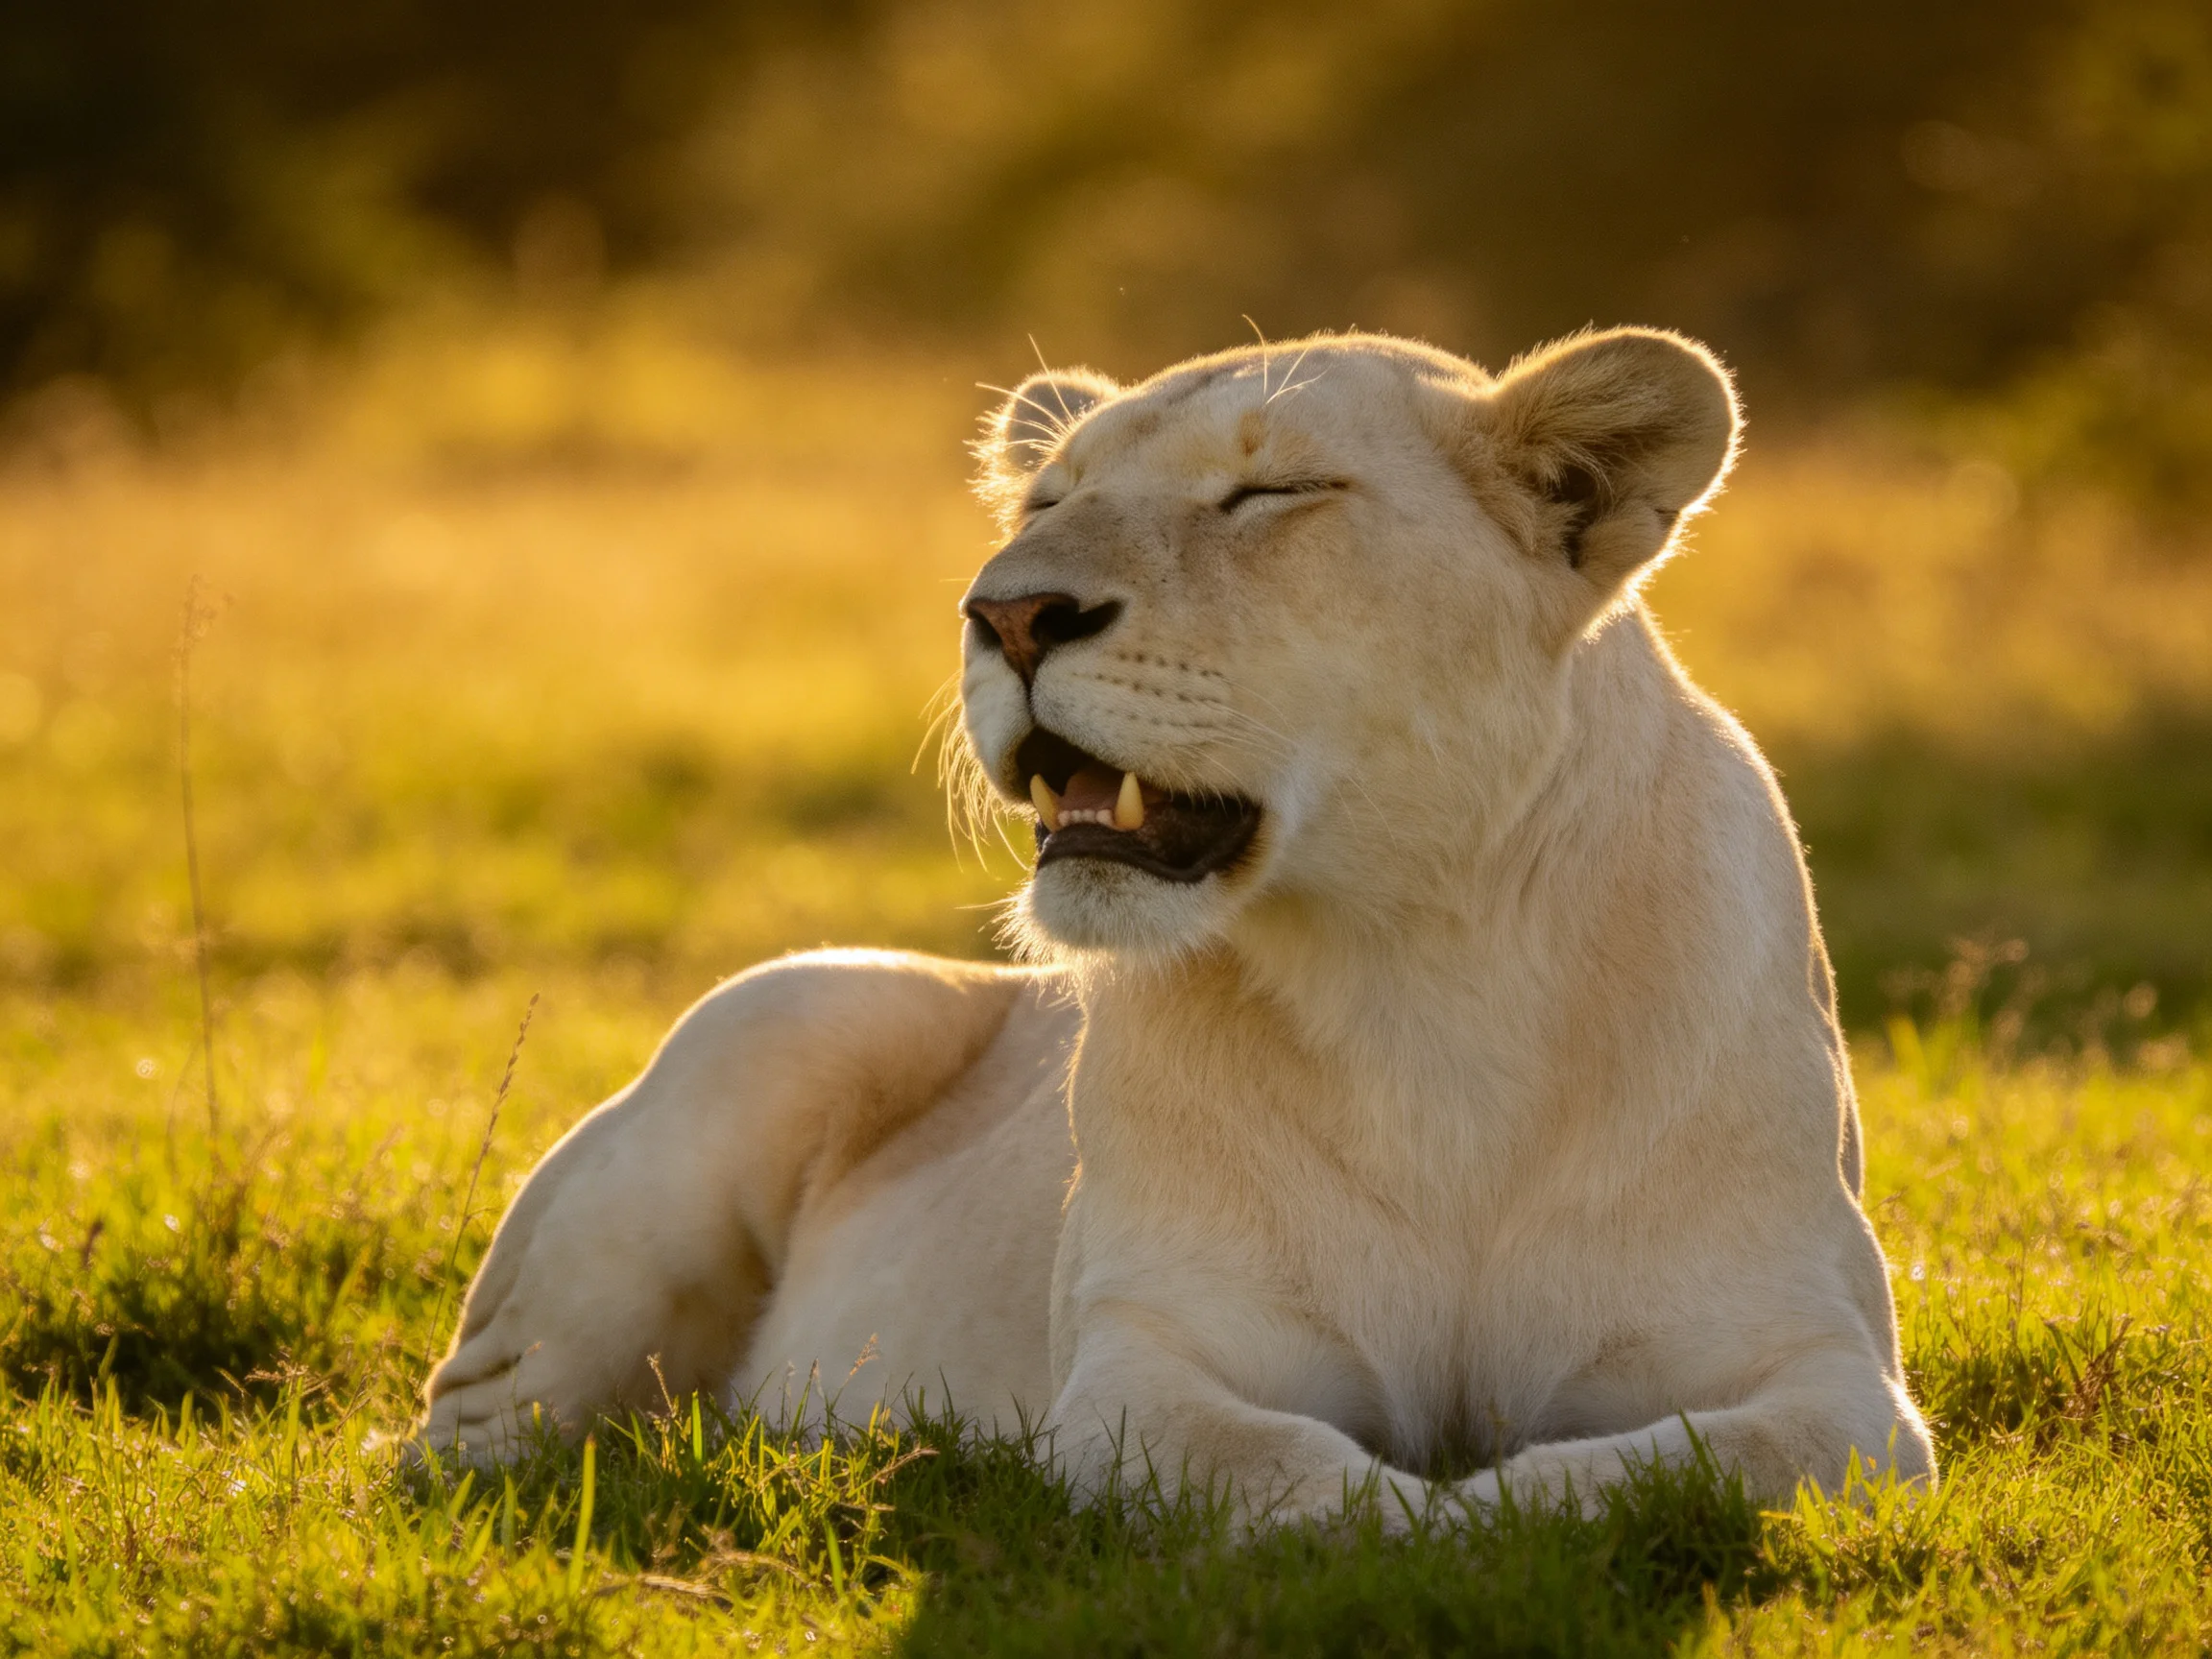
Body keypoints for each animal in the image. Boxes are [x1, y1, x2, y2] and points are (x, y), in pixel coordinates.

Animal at [413, 327, 1936, 1521]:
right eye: (1045, 497)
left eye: (1268, 492)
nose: (1009, 611)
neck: (1418, 974)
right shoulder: (1140, 1363)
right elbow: (1301, 1481)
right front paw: (1432, 1525)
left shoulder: (1831, 1373)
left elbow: (1669, 1466)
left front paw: (1493, 1513)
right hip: (770, 1025)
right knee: (484, 1420)